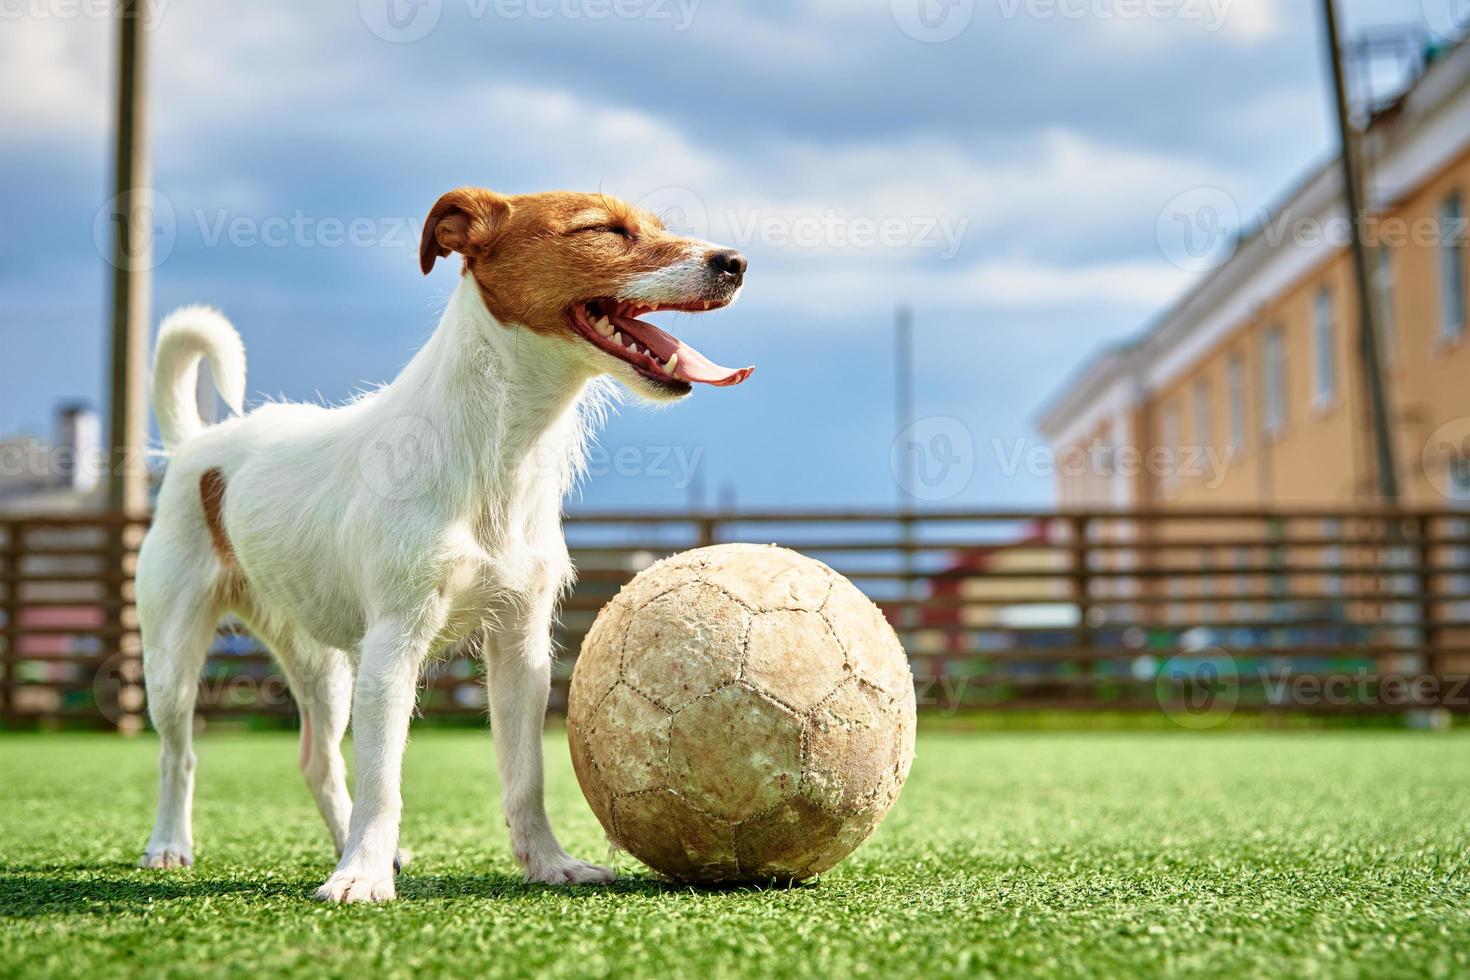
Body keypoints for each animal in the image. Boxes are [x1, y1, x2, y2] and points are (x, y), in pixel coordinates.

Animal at [136, 188, 752, 899]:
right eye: (603, 229)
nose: (735, 262)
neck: (502, 447)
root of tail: (196, 444)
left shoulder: (521, 646)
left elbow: (526, 775)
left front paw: (549, 864)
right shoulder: (393, 646)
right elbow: (383, 781)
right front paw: (362, 878)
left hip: (322, 665)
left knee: (318, 760)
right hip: (172, 657)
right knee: (178, 754)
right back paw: (170, 845)